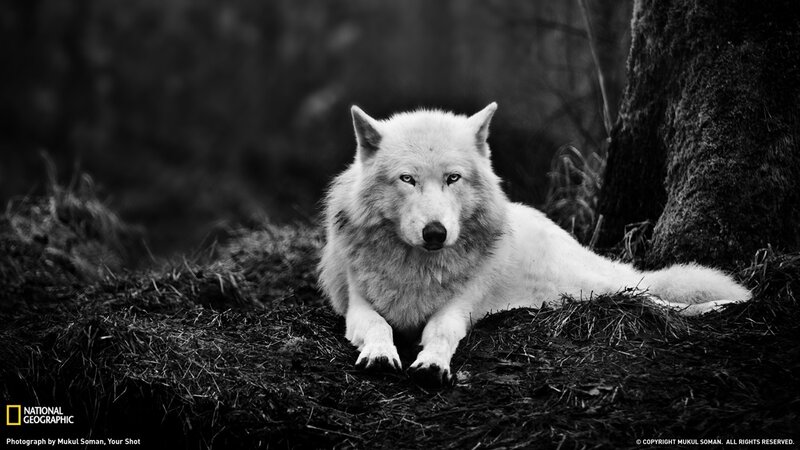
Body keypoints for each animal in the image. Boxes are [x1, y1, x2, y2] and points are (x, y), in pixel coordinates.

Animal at [318, 103, 751, 387]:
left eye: (453, 178)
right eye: (407, 179)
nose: (435, 233)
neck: (418, 268)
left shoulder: (459, 308)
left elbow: (441, 331)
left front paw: (433, 364)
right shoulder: (357, 305)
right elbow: (378, 325)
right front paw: (380, 354)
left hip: (595, 287)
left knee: (654, 297)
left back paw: (724, 305)